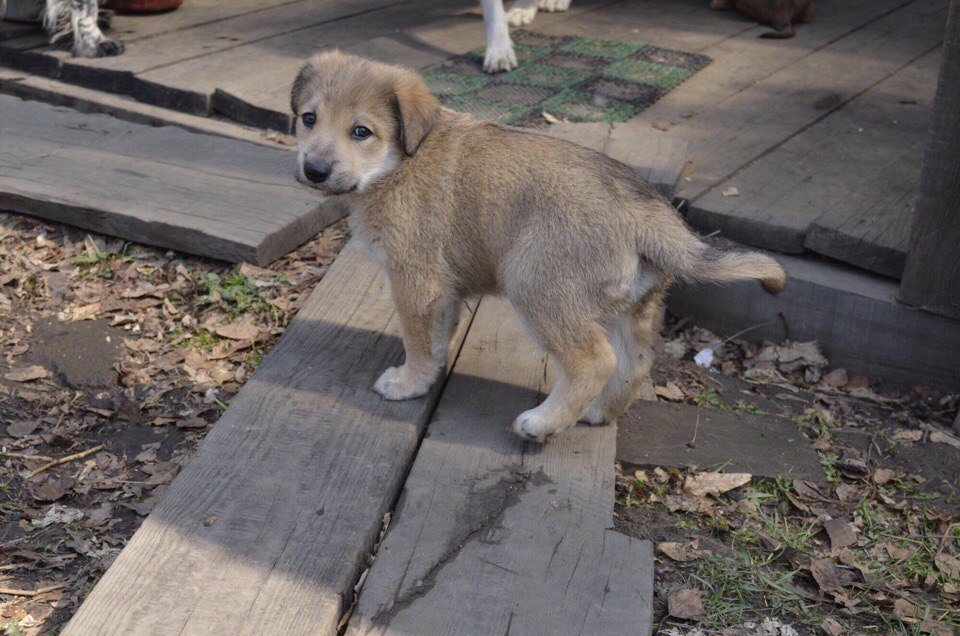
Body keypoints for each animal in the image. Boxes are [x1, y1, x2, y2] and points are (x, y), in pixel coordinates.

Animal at [290, 52, 788, 442]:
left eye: (361, 132)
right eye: (308, 119)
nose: (313, 170)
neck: (399, 163)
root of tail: (647, 212)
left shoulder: (415, 281)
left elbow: (416, 340)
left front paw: (408, 383)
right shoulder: (442, 290)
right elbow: (436, 338)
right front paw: (430, 372)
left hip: (534, 283)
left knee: (595, 361)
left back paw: (543, 423)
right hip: (633, 305)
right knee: (637, 362)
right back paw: (596, 414)